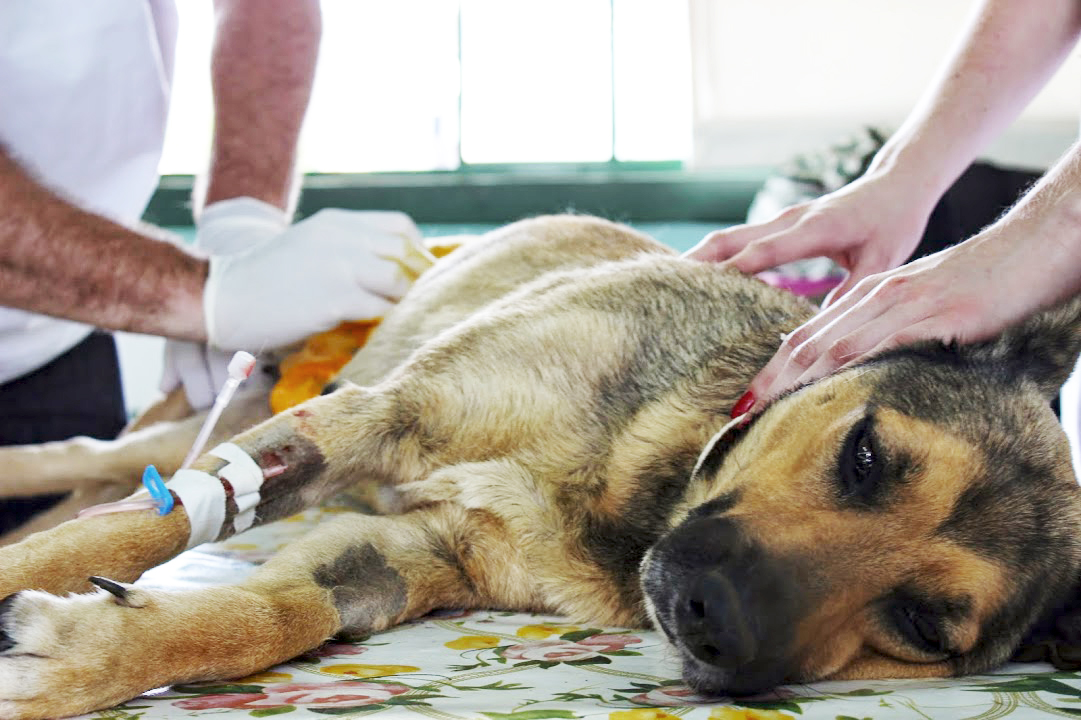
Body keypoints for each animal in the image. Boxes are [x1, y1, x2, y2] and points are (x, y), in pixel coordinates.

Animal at [0, 214, 1081, 717]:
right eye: (864, 455)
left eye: (922, 626)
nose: (713, 622)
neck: (634, 491)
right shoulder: (376, 418)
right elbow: (138, 533)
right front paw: (46, 597)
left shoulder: (404, 554)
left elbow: (273, 616)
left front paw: (89, 658)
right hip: (260, 394)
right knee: (98, 463)